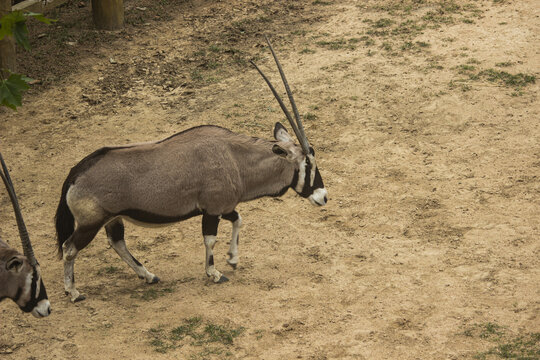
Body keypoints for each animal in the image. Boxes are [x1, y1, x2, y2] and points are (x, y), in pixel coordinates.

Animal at [54, 36, 326, 302]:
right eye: (307, 163)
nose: (323, 197)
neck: (235, 159)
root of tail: (74, 173)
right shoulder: (212, 210)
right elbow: (210, 239)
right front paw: (214, 273)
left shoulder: (222, 207)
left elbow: (238, 220)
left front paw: (232, 258)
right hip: (90, 223)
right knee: (70, 248)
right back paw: (73, 292)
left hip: (113, 219)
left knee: (117, 242)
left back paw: (148, 275)